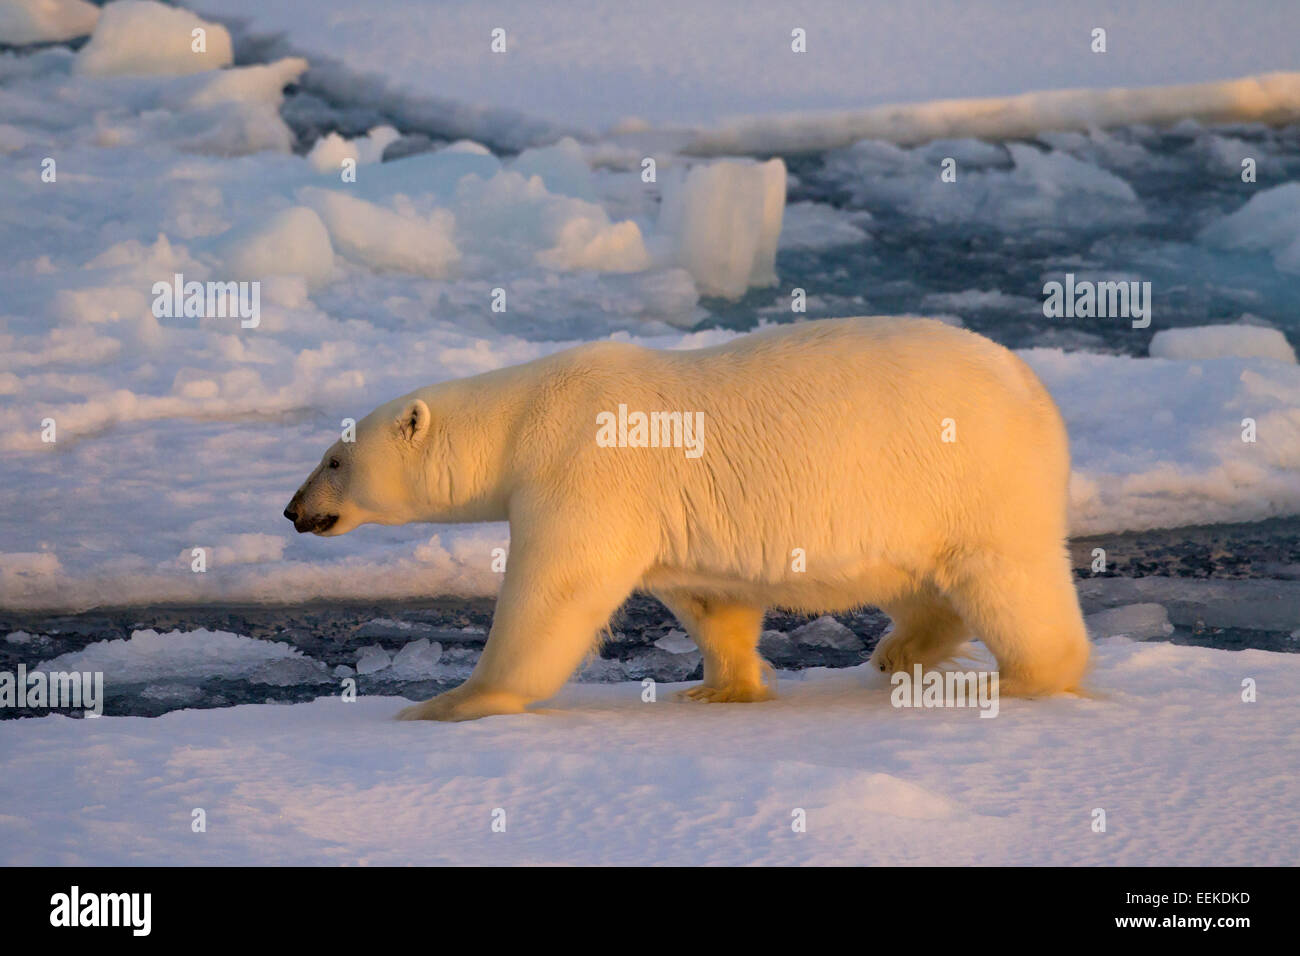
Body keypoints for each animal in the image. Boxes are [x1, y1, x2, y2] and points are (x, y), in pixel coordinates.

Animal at [284, 317, 1086, 723]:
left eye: (333, 459)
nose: (293, 510)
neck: (521, 419)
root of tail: (1035, 389)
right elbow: (709, 597)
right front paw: (721, 687)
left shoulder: (585, 469)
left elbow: (555, 593)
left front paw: (451, 702)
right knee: (920, 581)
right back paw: (900, 652)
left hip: (972, 476)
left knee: (1009, 579)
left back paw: (1020, 679)